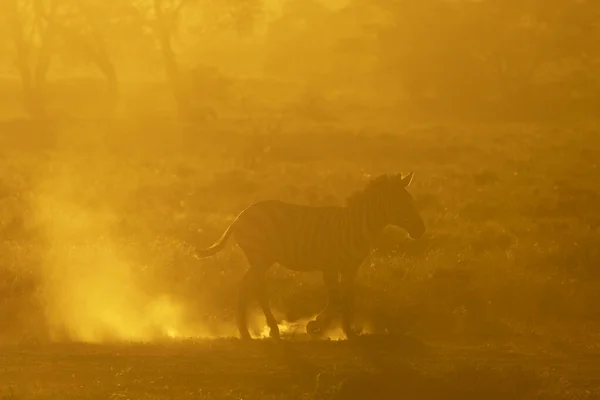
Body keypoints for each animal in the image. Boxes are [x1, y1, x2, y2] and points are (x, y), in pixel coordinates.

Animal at [195, 173, 424, 340]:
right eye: (403, 204)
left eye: (412, 202)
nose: (421, 230)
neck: (357, 225)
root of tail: (240, 215)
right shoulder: (330, 265)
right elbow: (335, 298)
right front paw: (316, 325)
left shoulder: (351, 267)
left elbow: (347, 297)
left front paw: (348, 330)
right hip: (260, 256)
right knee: (256, 288)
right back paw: (268, 329)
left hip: (262, 258)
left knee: (246, 285)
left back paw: (245, 331)